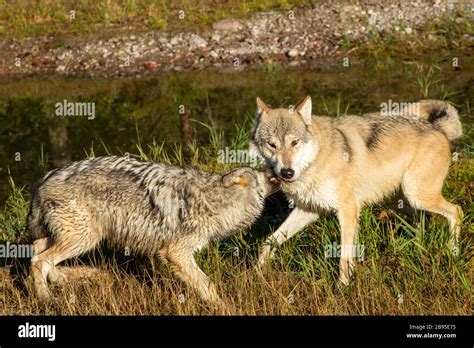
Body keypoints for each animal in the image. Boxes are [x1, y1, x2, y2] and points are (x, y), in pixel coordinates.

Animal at [27, 156, 280, 306]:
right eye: (262, 172)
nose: (276, 167)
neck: (215, 201)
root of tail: (43, 180)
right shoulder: (176, 252)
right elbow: (208, 285)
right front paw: (224, 307)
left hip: (73, 237)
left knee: (37, 252)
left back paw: (76, 276)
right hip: (84, 238)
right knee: (40, 260)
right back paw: (46, 299)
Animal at [252, 96, 462, 284]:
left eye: (294, 142)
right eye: (272, 144)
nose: (287, 172)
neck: (317, 159)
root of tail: (438, 129)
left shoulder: (348, 210)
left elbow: (344, 257)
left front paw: (343, 287)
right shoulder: (309, 209)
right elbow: (269, 240)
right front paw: (257, 273)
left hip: (416, 196)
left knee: (456, 210)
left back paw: (452, 252)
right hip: (401, 202)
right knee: (423, 220)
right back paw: (418, 248)